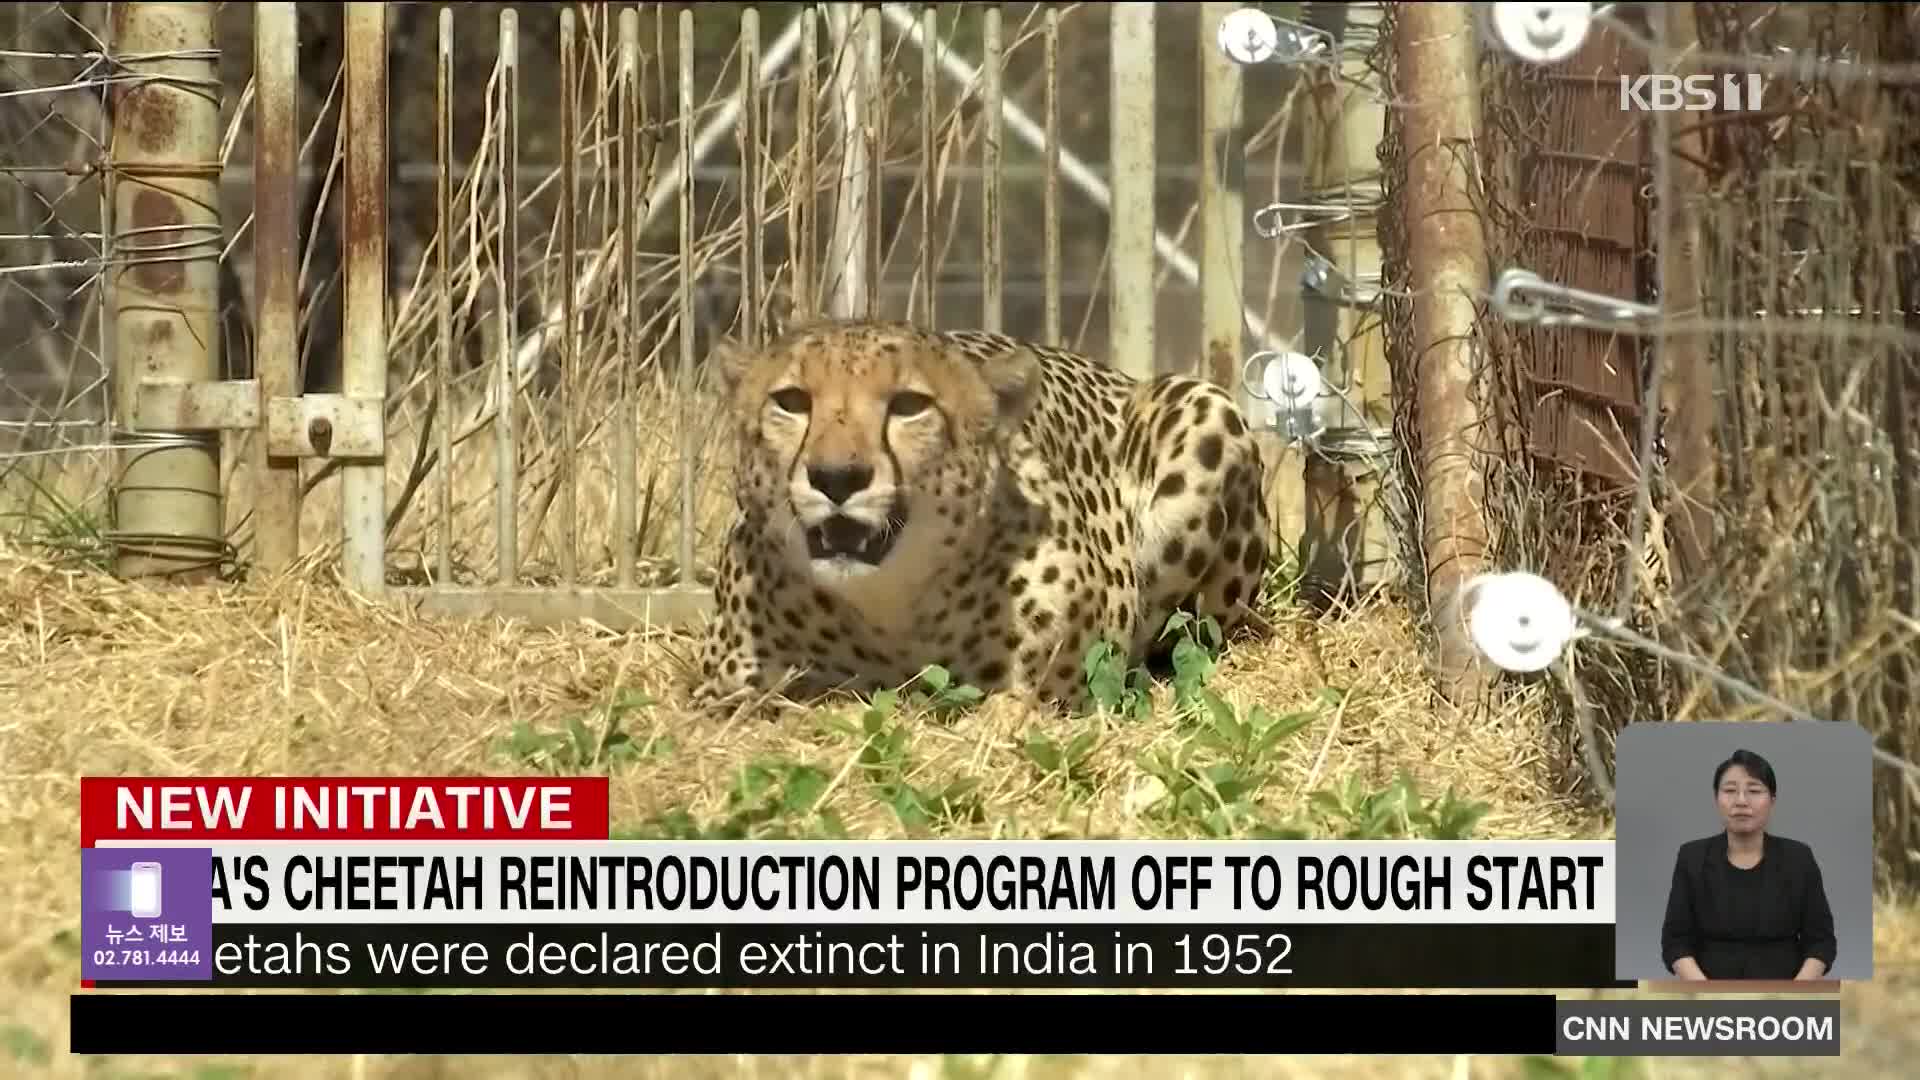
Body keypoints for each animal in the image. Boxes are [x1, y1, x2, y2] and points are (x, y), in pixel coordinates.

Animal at [691, 315, 1274, 711]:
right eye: (790, 401)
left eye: (909, 405)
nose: (837, 476)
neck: (889, 614)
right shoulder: (720, 691)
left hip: (1204, 411)